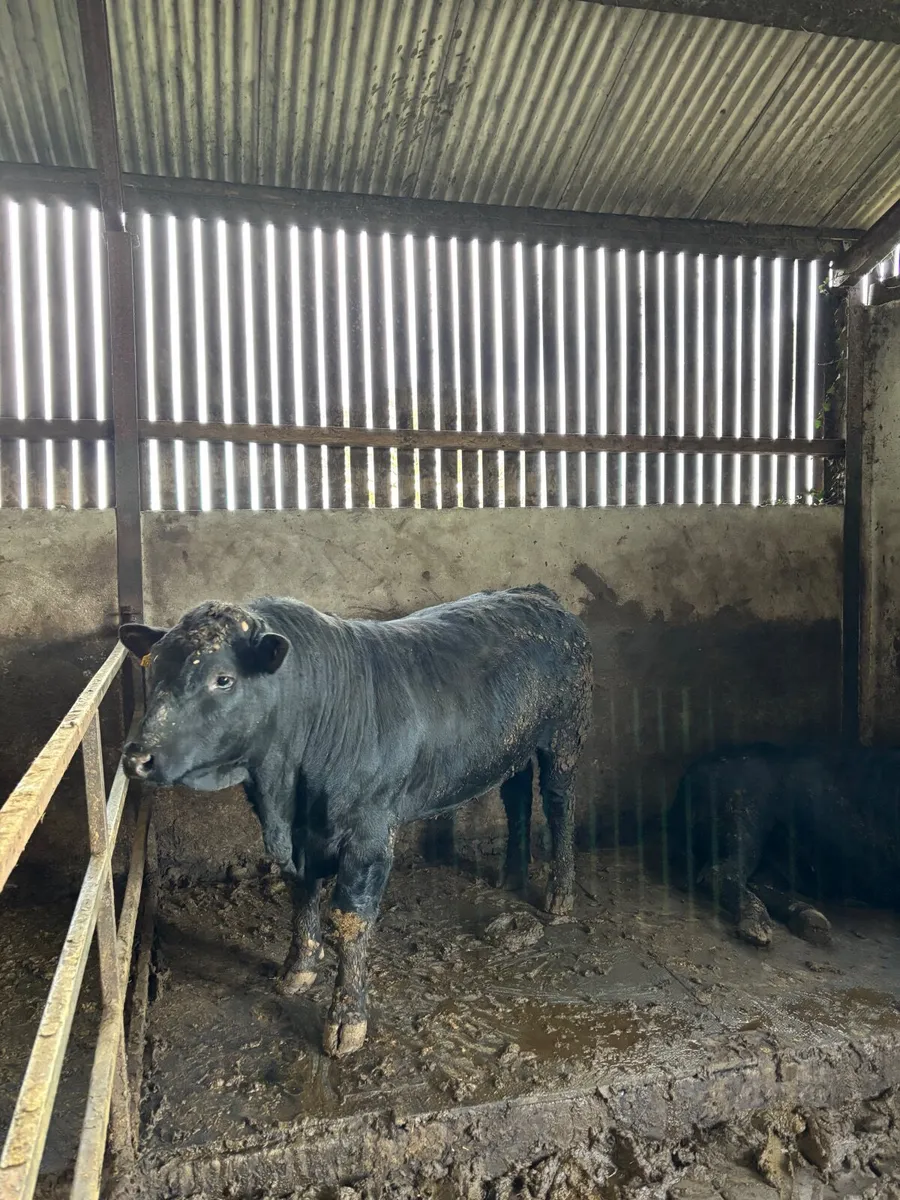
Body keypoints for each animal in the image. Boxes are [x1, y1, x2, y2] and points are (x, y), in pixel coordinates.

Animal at [119, 586, 592, 1056]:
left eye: (223, 679)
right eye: (154, 668)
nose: (137, 756)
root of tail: (536, 594)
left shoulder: (370, 834)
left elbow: (351, 920)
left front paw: (347, 1018)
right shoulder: (300, 836)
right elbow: (302, 893)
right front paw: (299, 967)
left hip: (565, 736)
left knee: (558, 804)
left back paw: (560, 893)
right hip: (513, 749)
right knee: (516, 797)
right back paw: (512, 874)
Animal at [668, 743, 900, 949]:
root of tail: (689, 778)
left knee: (756, 881)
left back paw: (811, 920)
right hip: (747, 814)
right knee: (721, 872)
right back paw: (758, 927)